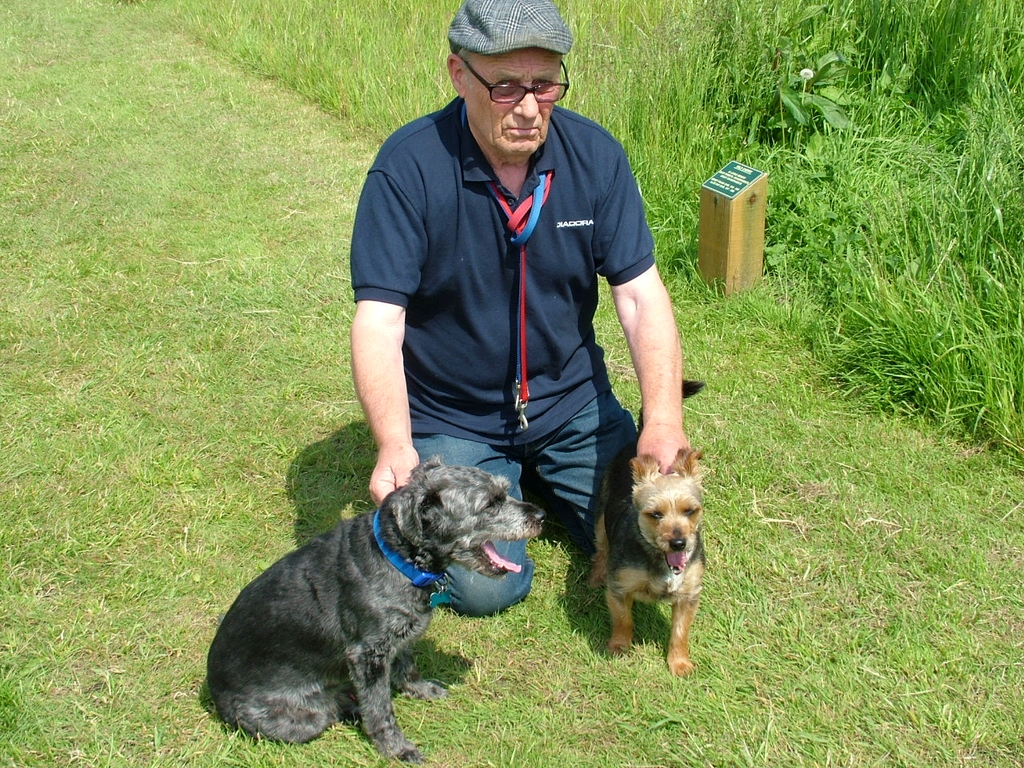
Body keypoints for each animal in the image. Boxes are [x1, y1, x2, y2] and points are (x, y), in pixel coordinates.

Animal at [204, 456, 548, 765]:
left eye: (504, 492)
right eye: (491, 504)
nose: (541, 515)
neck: (398, 559)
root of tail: (214, 694)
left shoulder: (399, 636)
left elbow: (407, 666)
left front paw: (420, 689)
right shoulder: (367, 655)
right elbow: (381, 708)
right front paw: (397, 749)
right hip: (301, 719)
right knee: (331, 712)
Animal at [593, 448, 704, 675]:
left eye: (690, 510)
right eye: (655, 514)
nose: (678, 543)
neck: (660, 558)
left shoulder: (689, 595)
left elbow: (681, 631)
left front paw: (679, 663)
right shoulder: (619, 586)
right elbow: (623, 620)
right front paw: (619, 647)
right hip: (600, 519)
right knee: (601, 549)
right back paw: (595, 578)